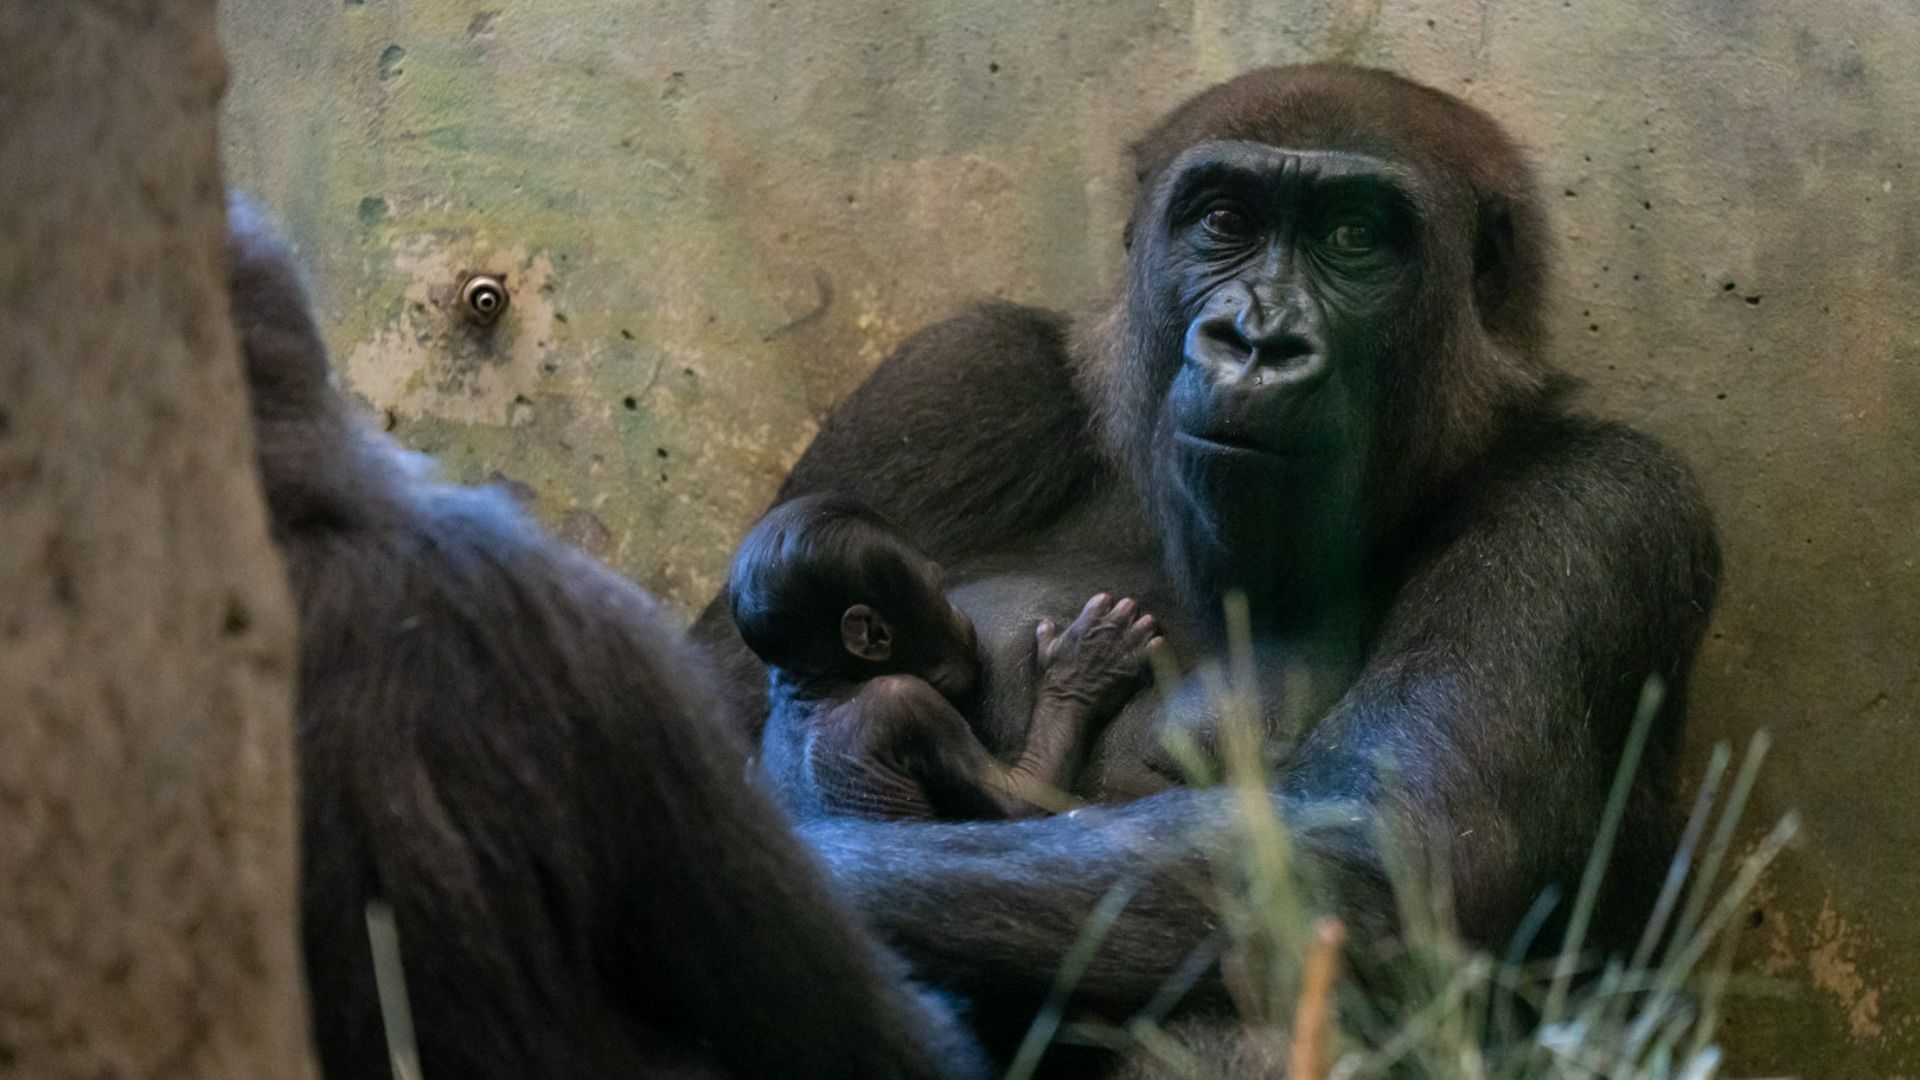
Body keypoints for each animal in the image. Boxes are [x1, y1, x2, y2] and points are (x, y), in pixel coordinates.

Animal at [729, 495, 1152, 814]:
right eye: (936, 589)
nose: (959, 613)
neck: (819, 684)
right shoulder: (909, 704)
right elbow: (1017, 800)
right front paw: (1083, 667)